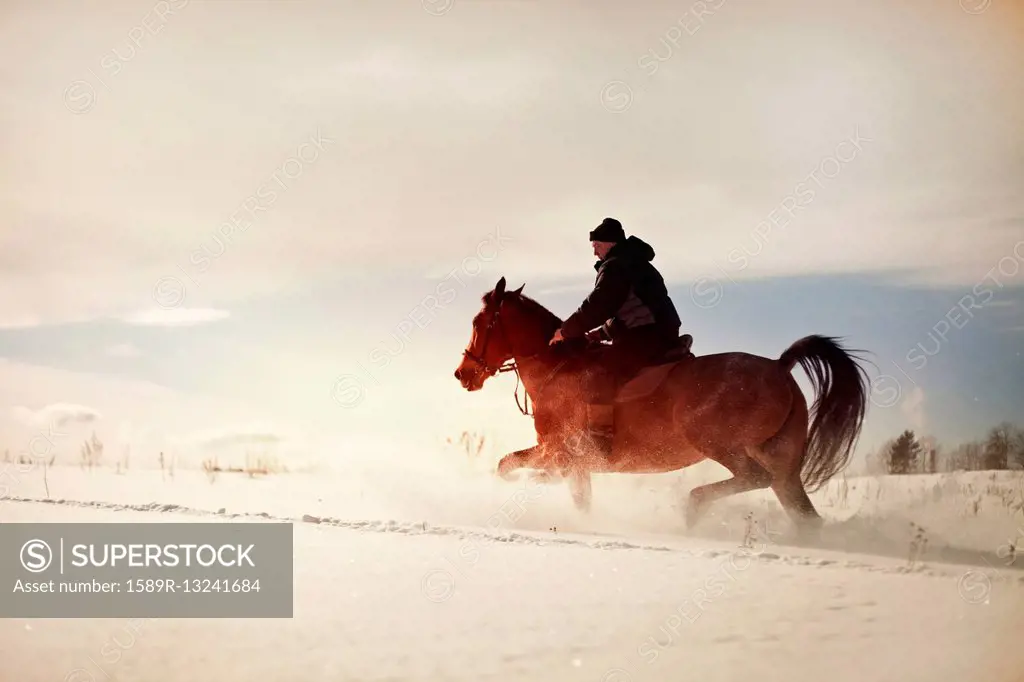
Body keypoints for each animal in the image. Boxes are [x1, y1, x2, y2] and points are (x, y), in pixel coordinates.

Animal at [452, 276, 868, 532]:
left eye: (479, 322)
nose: (462, 373)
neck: (556, 369)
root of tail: (779, 366)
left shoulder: (559, 450)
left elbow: (508, 466)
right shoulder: (575, 464)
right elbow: (574, 496)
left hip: (719, 443)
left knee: (752, 478)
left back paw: (692, 506)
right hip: (784, 466)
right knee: (802, 512)